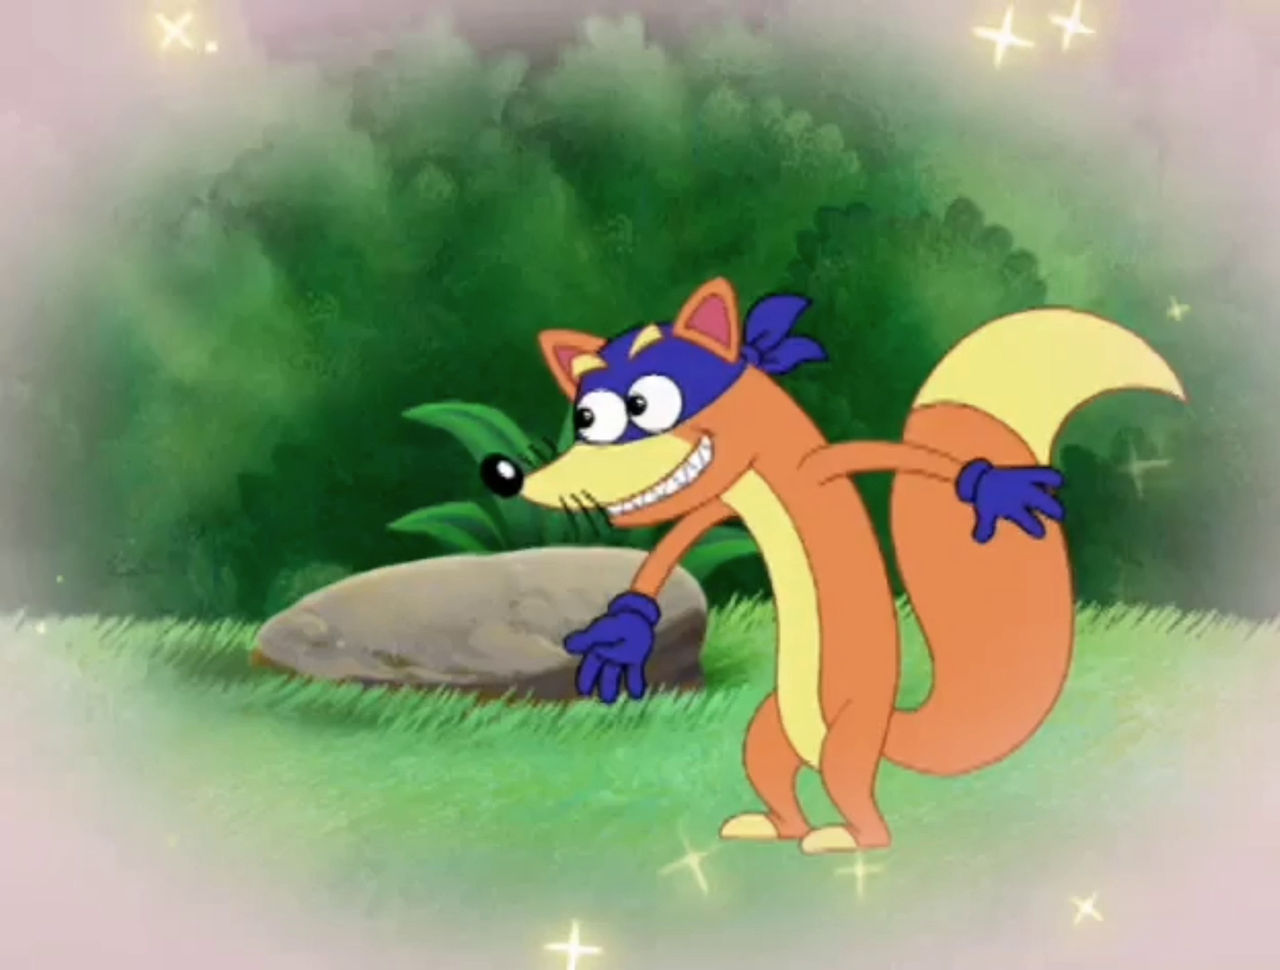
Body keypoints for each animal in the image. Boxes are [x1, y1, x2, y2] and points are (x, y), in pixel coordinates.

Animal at [476, 277, 1186, 854]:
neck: (758, 481)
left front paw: (993, 489)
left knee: (850, 788)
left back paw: (848, 839)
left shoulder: (819, 467)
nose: (507, 475)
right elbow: (667, 554)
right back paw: (775, 826)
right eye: (586, 416)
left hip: (848, 733)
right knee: (771, 770)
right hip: (770, 733)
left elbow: (907, 459)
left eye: (645, 405)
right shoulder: (716, 506)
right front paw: (620, 639)